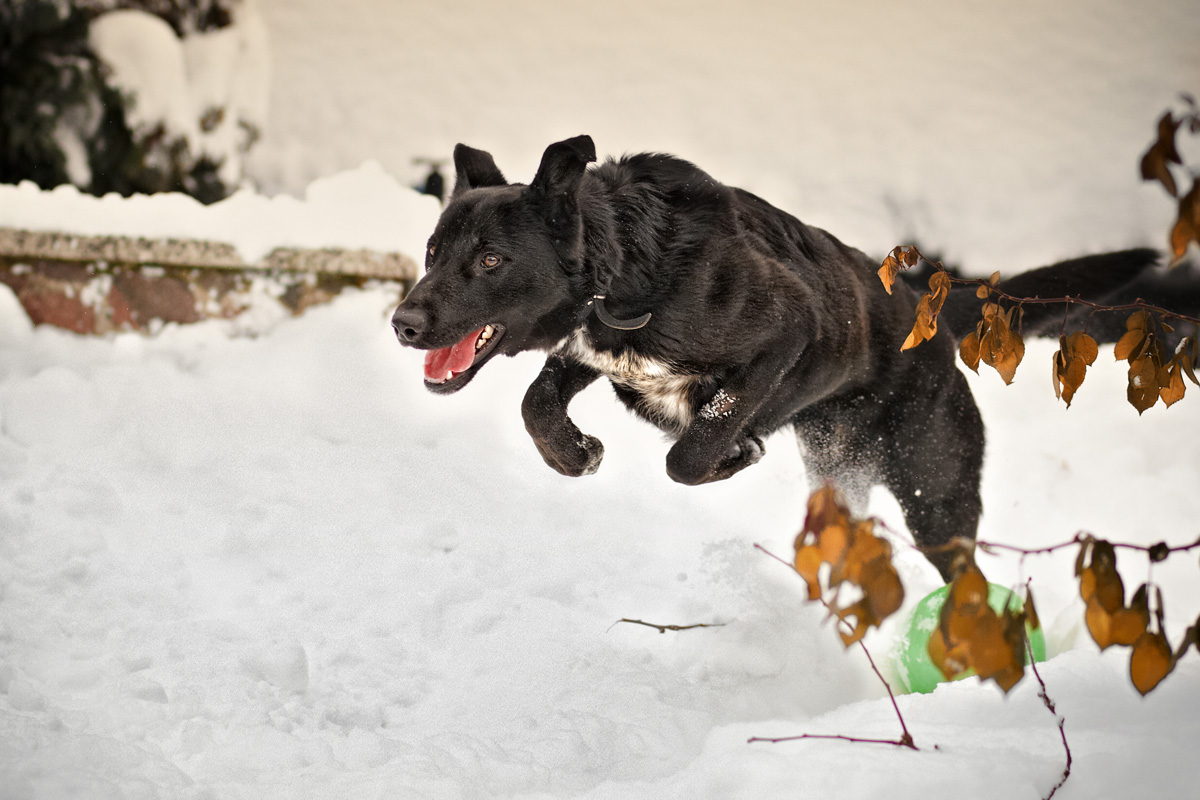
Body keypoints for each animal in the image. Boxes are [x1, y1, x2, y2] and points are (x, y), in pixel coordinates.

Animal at [388, 134, 1156, 578]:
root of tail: (924, 314)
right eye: (431, 252)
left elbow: (690, 451)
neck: (630, 262)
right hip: (839, 470)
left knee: (967, 577)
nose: (401, 322)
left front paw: (735, 454)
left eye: (490, 260)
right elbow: (536, 401)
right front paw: (575, 454)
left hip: (936, 493)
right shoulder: (590, 348)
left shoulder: (786, 333)